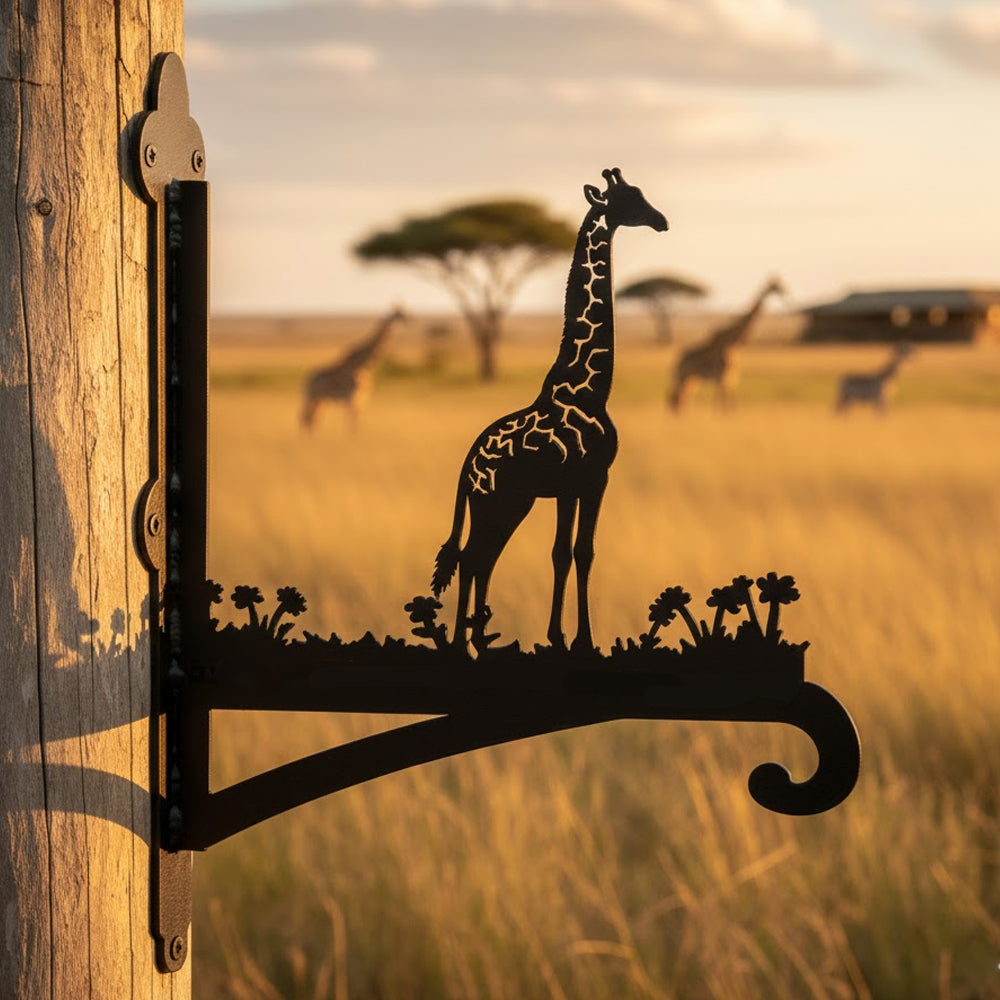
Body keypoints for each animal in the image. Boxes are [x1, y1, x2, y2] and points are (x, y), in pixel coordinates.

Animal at [431, 168, 668, 654]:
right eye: (629, 199)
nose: (661, 221)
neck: (592, 390)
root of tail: (466, 466)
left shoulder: (570, 486)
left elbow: (565, 552)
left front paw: (560, 637)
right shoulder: (593, 478)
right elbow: (580, 551)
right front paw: (580, 639)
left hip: (505, 502)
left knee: (479, 558)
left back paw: (477, 639)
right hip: (496, 501)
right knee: (473, 557)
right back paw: (467, 642)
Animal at [668, 276, 786, 411]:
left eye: (780, 284)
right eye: (776, 285)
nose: (785, 292)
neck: (732, 342)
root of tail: (676, 360)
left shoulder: (730, 379)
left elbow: (727, 407)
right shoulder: (723, 378)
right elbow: (723, 407)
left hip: (692, 380)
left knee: (680, 401)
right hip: (683, 378)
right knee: (677, 402)